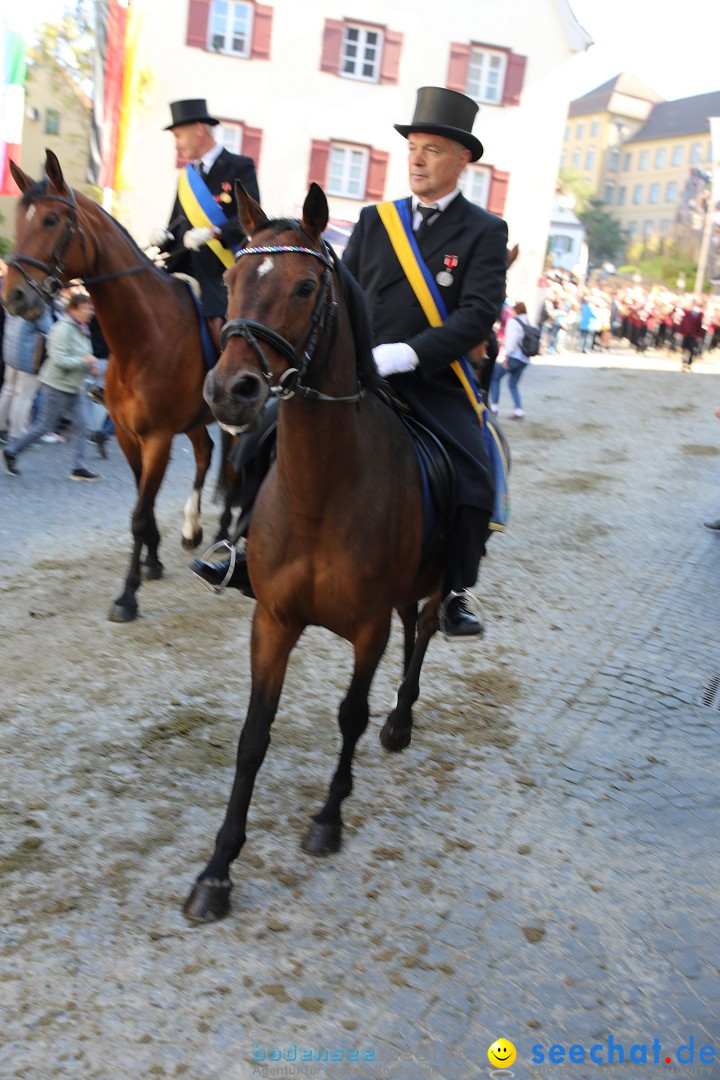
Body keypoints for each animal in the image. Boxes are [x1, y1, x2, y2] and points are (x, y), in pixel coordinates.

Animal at [2, 153, 232, 626]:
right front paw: (153, 561)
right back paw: (192, 528)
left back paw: (223, 536)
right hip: (194, 422)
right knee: (205, 454)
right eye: (19, 219)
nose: (13, 297)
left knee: (237, 468)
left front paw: (128, 594)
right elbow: (142, 505)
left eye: (51, 219)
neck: (144, 336)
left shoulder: (158, 438)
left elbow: (140, 513)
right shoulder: (129, 435)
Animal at [183, 183, 470, 920]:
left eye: (306, 286)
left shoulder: (365, 628)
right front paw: (217, 870)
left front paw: (328, 819)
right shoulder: (274, 620)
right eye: (230, 280)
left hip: (432, 584)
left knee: (425, 632)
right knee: (413, 628)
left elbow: (351, 716)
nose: (229, 391)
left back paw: (402, 719)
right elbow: (253, 736)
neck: (323, 488)